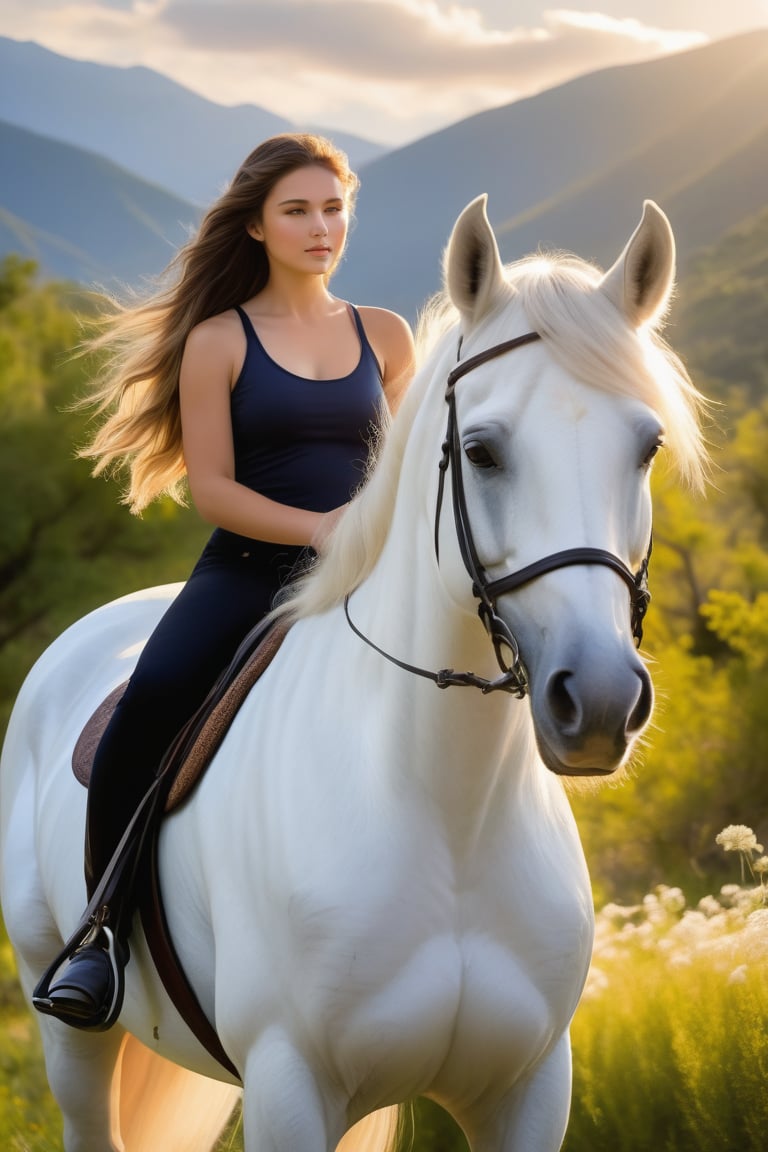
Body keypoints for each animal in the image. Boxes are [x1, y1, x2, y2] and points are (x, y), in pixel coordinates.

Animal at [1, 198, 709, 1152]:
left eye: (647, 447)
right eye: (481, 452)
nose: (597, 700)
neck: (447, 811)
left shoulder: (528, 1091)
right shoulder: (289, 1085)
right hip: (71, 1034)